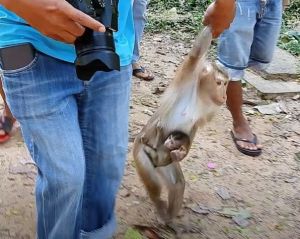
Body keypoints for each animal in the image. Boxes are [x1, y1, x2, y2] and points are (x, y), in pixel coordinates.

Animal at [132, 27, 229, 223]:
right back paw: (159, 206)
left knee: (177, 184)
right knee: (154, 184)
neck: (199, 96)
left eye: (226, 84)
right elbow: (197, 52)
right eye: (219, 83)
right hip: (141, 155)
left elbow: (192, 128)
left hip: (164, 162)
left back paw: (170, 219)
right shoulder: (188, 76)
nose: (224, 95)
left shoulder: (209, 109)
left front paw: (182, 152)